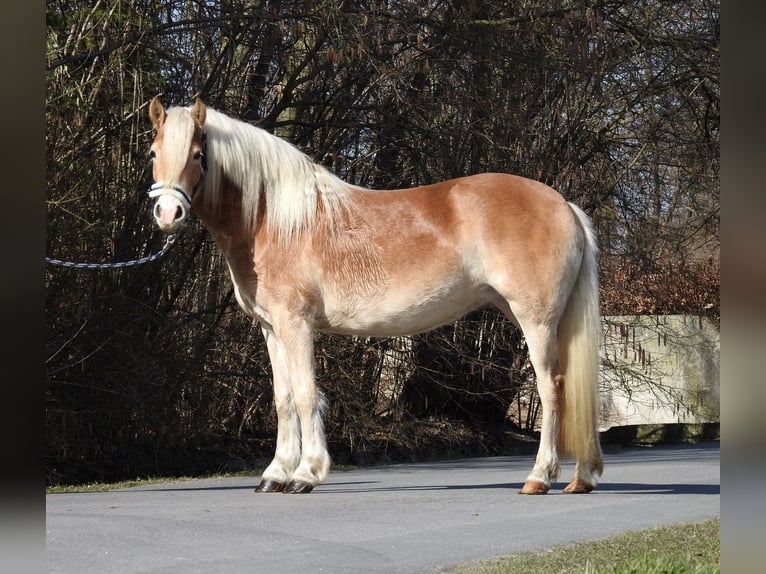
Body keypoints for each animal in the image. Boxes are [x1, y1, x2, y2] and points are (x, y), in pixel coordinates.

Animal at [147, 97, 604, 498]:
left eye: (197, 155)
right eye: (153, 152)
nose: (168, 214)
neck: (274, 220)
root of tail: (564, 205)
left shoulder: (296, 323)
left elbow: (306, 393)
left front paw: (306, 474)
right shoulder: (271, 328)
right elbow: (283, 399)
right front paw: (275, 474)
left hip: (536, 320)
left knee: (552, 387)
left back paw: (539, 477)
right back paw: (581, 478)